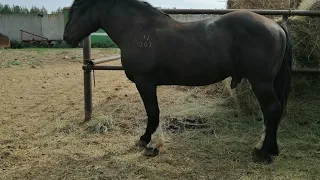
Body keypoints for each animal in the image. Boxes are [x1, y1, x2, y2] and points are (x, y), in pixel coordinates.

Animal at [63, 0, 294, 163]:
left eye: (78, 7)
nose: (66, 37)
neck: (139, 30)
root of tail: (275, 26)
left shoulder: (145, 83)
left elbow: (153, 112)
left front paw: (152, 145)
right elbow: (152, 113)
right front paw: (145, 139)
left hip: (261, 82)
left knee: (272, 109)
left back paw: (263, 154)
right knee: (272, 111)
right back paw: (267, 148)